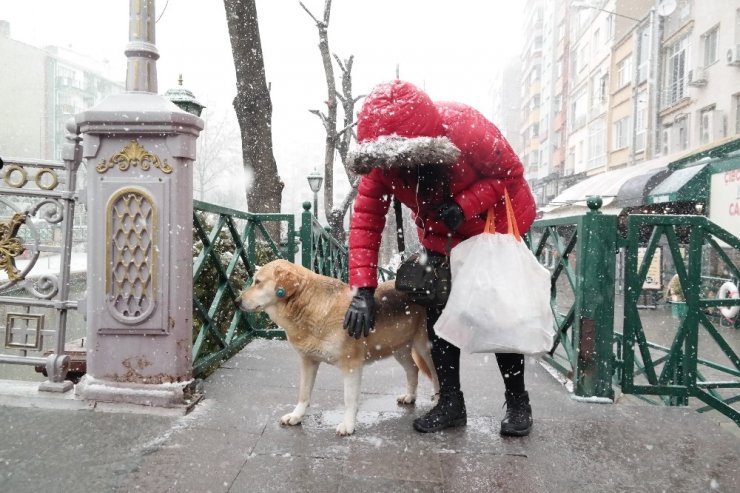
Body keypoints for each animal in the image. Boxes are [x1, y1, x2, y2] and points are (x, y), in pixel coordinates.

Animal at [240, 258, 440, 434]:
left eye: (258, 282)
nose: (237, 301)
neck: (310, 306)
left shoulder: (351, 366)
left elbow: (349, 400)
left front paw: (348, 425)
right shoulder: (307, 361)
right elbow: (303, 394)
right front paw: (297, 416)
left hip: (425, 348)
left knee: (436, 375)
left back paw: (438, 402)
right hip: (398, 349)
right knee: (413, 369)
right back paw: (410, 396)